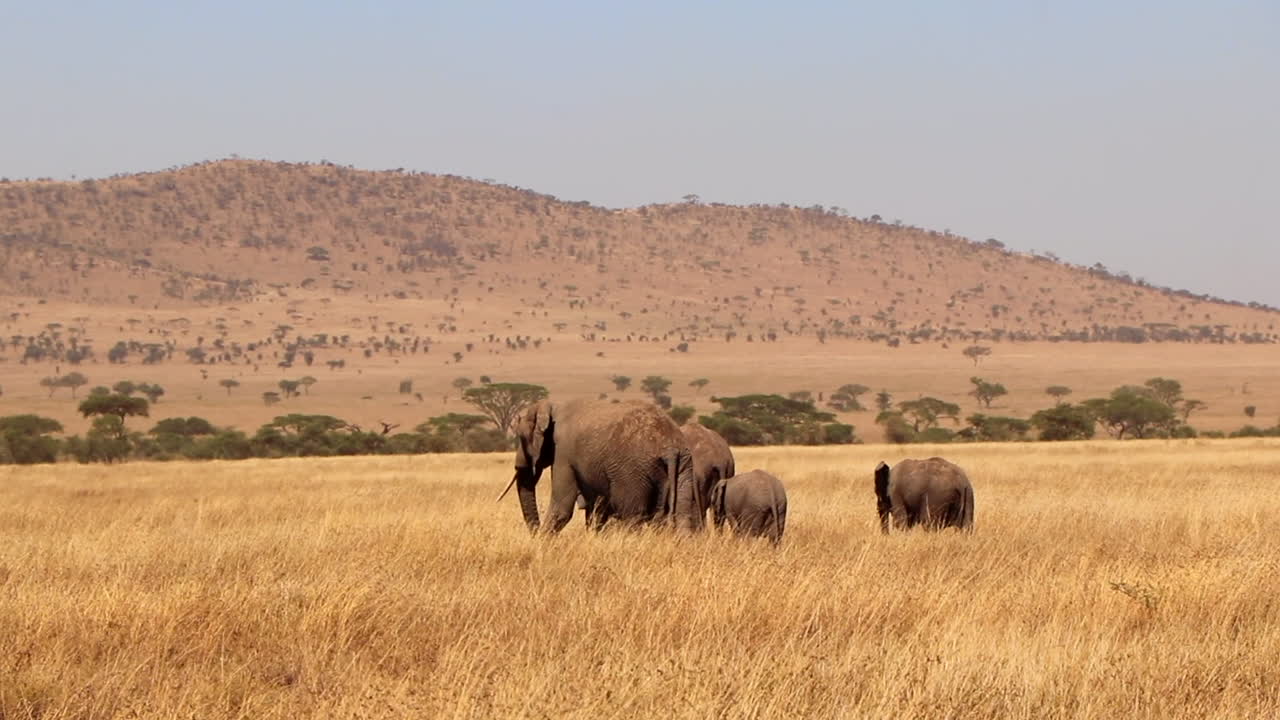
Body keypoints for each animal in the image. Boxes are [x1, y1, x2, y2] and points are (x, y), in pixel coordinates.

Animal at [504, 398, 702, 534]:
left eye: (521, 438)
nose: (535, 532)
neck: (552, 405)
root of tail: (669, 447)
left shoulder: (563, 454)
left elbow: (561, 508)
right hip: (684, 465)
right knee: (682, 514)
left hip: (632, 471)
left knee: (632, 515)